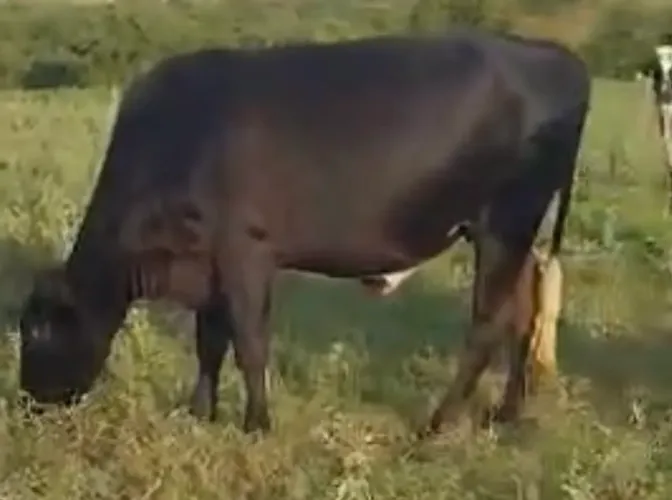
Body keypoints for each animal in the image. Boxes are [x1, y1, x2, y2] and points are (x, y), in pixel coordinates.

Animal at [16, 29, 590, 437]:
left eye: (37, 331)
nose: (26, 403)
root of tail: (552, 54)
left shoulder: (245, 249)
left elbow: (249, 343)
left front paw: (256, 425)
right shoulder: (210, 260)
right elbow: (210, 342)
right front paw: (200, 413)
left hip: (505, 221)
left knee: (488, 323)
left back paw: (436, 424)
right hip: (516, 233)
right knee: (523, 314)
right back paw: (506, 414)